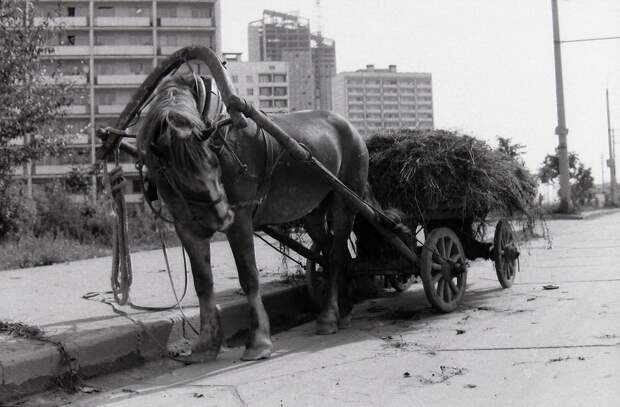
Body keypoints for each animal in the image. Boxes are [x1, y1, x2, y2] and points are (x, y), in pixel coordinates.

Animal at [137, 74, 368, 364]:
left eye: (214, 163)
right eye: (177, 176)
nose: (222, 217)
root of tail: (352, 129)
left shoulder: (241, 218)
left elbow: (248, 276)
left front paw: (258, 341)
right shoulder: (187, 228)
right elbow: (203, 283)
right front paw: (206, 345)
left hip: (344, 202)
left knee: (336, 255)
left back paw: (328, 317)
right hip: (313, 212)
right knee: (330, 250)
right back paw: (343, 310)